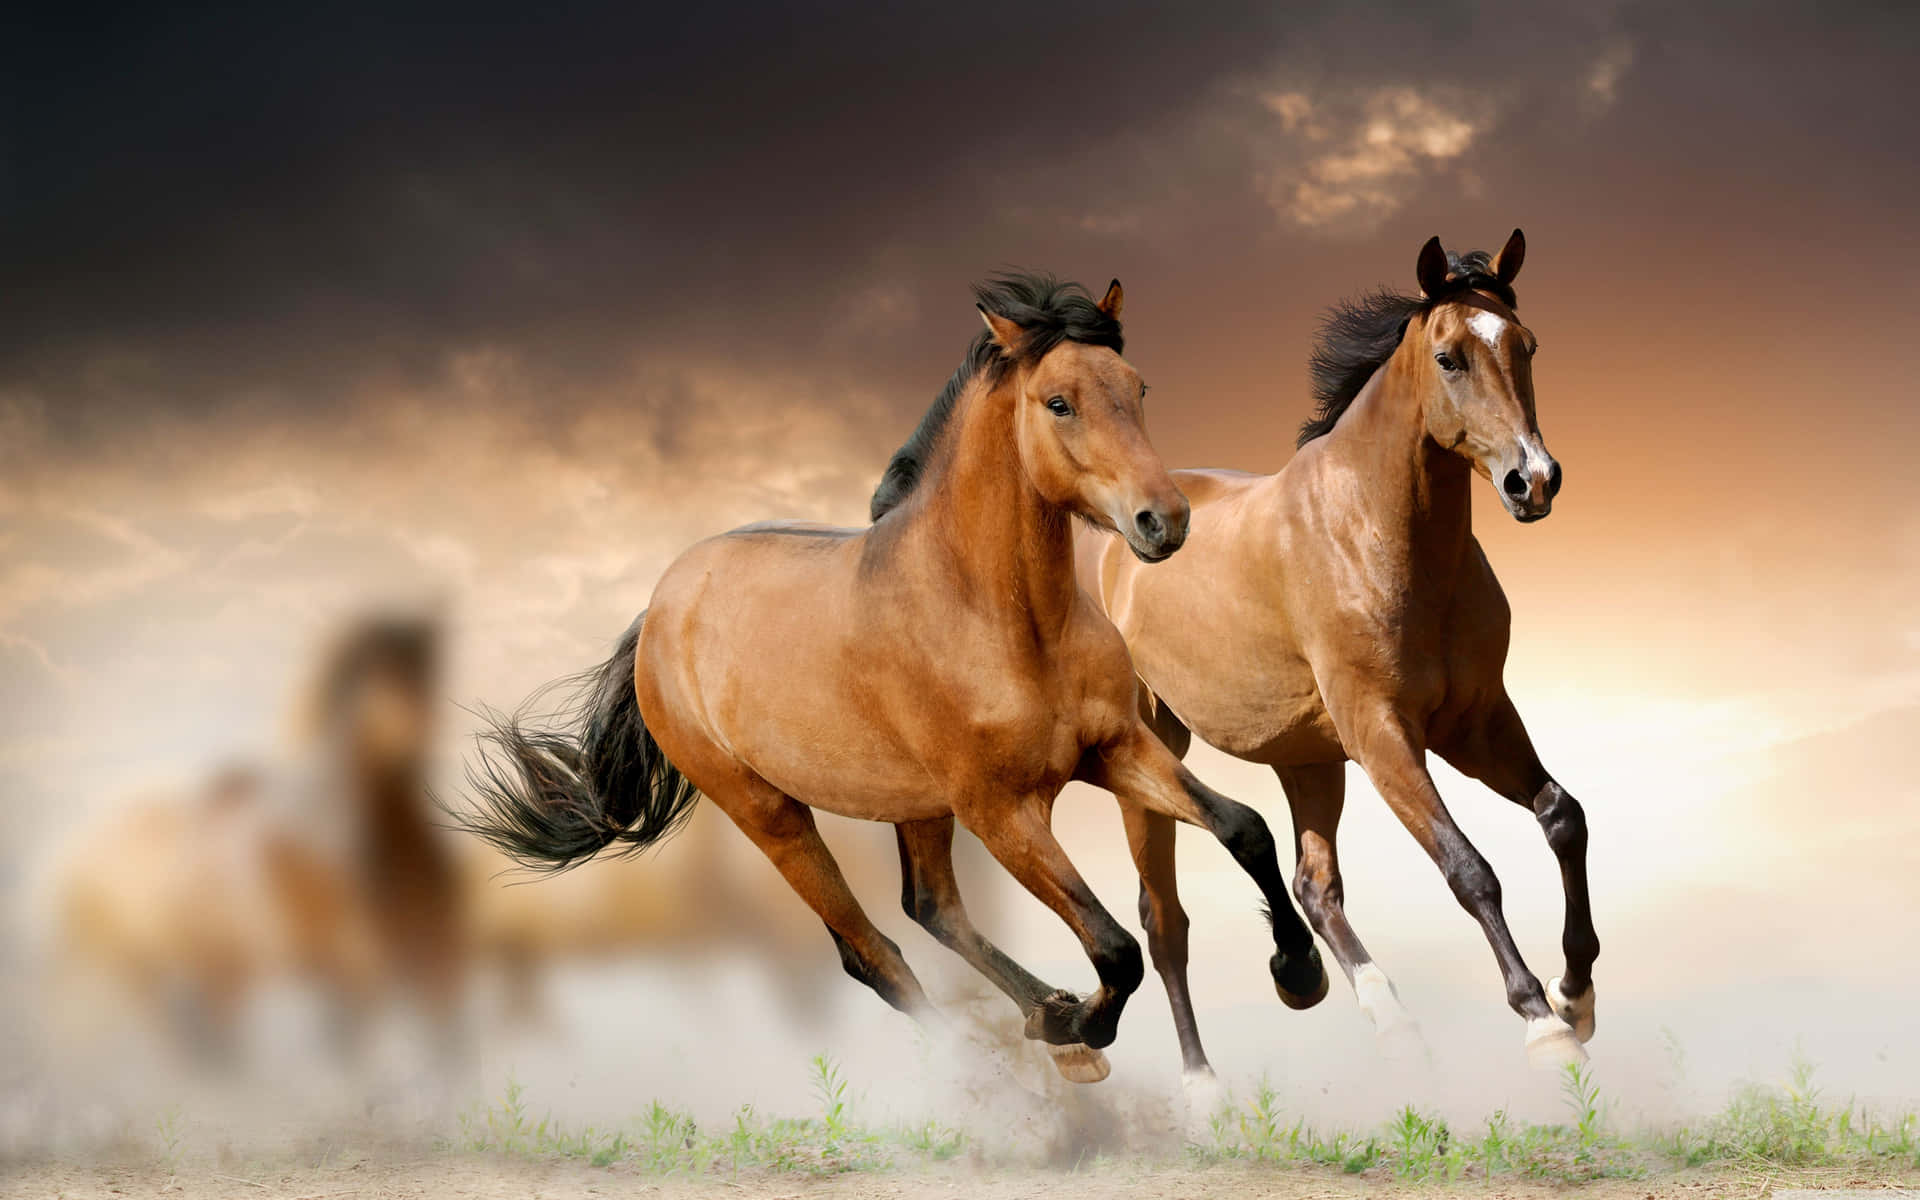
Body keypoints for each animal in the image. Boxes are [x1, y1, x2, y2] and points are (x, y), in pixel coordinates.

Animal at [456, 273, 1327, 1085]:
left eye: (1138, 387)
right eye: (1059, 403)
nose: (1164, 522)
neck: (1002, 618)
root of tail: (660, 610)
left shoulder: (1114, 748)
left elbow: (1244, 827)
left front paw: (1299, 974)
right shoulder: (1001, 811)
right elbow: (1114, 948)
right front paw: (1083, 1024)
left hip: (916, 805)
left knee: (930, 907)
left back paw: (1045, 1017)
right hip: (771, 813)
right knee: (873, 954)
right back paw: (1015, 1062)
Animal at [1084, 231, 1599, 1085]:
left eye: (1525, 346)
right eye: (1451, 357)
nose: (1535, 481)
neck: (1377, 534)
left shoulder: (1476, 722)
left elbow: (1563, 816)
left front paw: (1577, 993)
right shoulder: (1384, 734)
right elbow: (1469, 869)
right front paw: (1541, 1023)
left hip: (1308, 759)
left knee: (1314, 886)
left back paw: (1378, 1014)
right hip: (1153, 752)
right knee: (1164, 923)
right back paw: (1203, 1087)